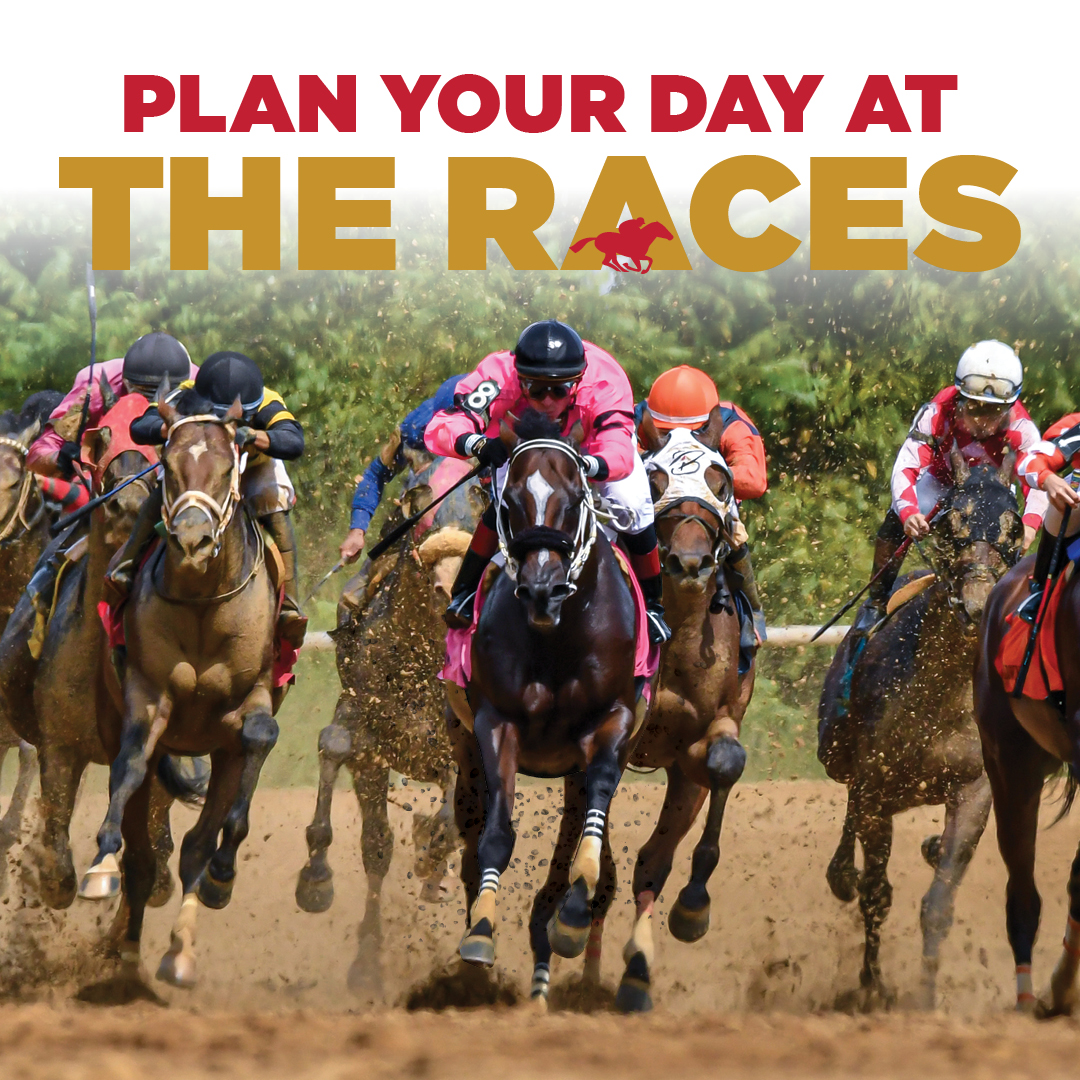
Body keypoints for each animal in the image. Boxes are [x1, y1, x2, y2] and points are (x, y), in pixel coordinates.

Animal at [81, 388, 282, 989]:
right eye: (168, 468)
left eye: (225, 468)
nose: (193, 538)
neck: (201, 604)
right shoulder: (147, 698)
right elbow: (128, 767)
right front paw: (100, 865)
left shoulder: (250, 702)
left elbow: (258, 737)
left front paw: (222, 873)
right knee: (148, 849)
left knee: (196, 846)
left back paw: (184, 944)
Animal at [444, 408, 652, 1006]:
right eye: (509, 503)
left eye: (575, 498)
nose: (542, 591)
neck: (557, 639)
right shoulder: (496, 724)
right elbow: (495, 835)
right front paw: (481, 931)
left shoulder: (613, 721)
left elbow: (594, 814)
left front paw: (574, 914)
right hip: (464, 748)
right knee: (472, 836)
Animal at [820, 451, 1023, 1006]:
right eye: (953, 523)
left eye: (1013, 527)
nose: (978, 604)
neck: (942, 693)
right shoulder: (874, 784)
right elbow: (876, 894)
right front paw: (873, 988)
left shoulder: (974, 790)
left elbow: (938, 905)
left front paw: (927, 997)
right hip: (847, 761)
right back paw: (842, 875)